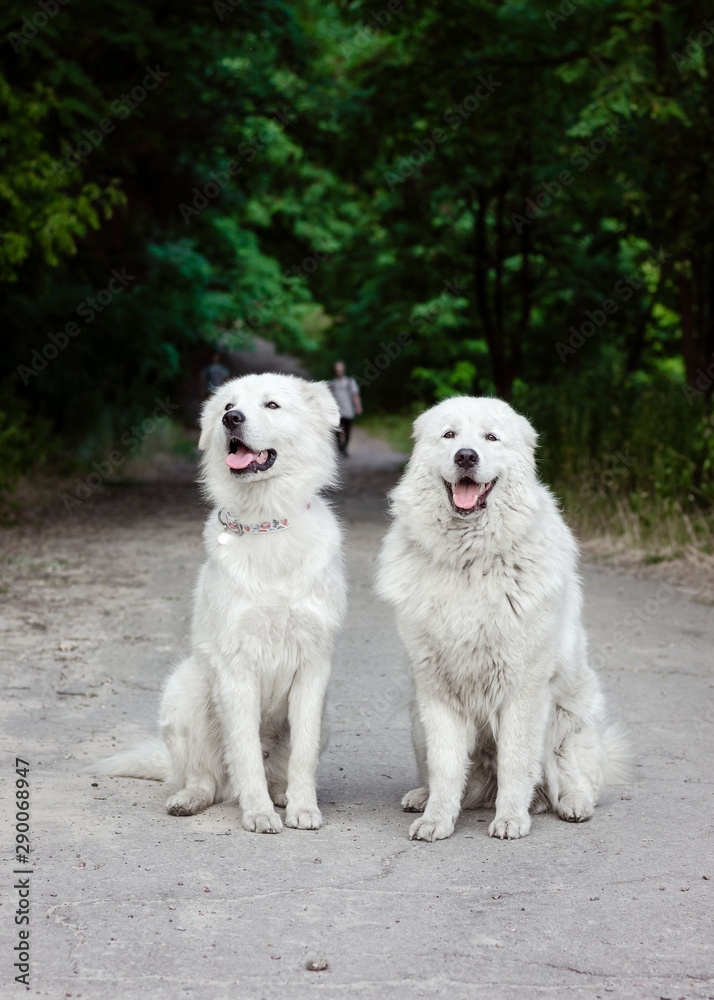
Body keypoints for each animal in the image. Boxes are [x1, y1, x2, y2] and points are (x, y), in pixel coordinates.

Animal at [94, 372, 344, 832]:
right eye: (228, 405)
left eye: (272, 405)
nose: (231, 419)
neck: (266, 525)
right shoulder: (236, 667)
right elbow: (244, 754)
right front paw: (258, 814)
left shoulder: (313, 668)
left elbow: (301, 757)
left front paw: (302, 808)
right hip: (188, 689)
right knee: (207, 778)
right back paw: (192, 799)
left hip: (326, 713)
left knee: (276, 770)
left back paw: (282, 795)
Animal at [376, 394, 624, 840]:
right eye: (449, 434)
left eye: (491, 437)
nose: (466, 456)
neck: (469, 562)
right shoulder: (436, 692)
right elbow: (446, 767)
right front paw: (436, 820)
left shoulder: (523, 690)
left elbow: (516, 762)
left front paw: (510, 820)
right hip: (416, 719)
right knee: (449, 777)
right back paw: (422, 797)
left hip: (568, 719)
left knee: (573, 776)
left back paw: (571, 804)